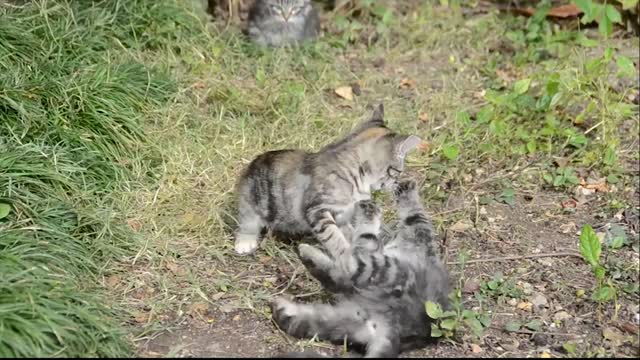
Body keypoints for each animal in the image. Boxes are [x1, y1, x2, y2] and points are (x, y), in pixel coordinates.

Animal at [232, 104, 422, 256]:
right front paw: (345, 256)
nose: (395, 184)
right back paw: (245, 242)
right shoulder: (317, 210)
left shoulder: (343, 214)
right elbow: (334, 237)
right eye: (398, 171)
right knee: (247, 222)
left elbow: (349, 231)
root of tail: (253, 163)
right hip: (250, 201)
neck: (356, 177)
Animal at [270, 180, 450, 358]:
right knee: (311, 317)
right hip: (347, 319)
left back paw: (308, 253)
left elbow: (370, 232)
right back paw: (283, 309)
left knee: (342, 272)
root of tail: (396, 329)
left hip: (386, 271)